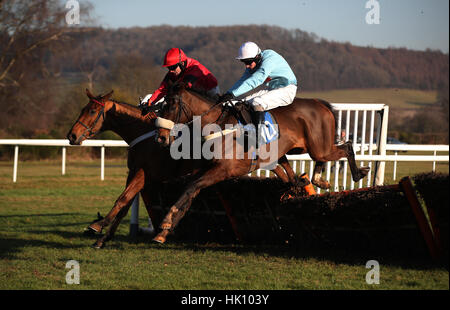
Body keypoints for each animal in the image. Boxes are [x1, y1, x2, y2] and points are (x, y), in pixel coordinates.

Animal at [153, 85, 368, 240]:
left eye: (170, 106)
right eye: (161, 105)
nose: (161, 138)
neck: (218, 126)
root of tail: (319, 103)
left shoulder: (223, 170)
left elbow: (191, 187)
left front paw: (166, 221)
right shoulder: (207, 169)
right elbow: (190, 190)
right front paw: (166, 229)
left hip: (319, 148)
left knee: (347, 147)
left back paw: (357, 173)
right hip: (305, 149)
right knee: (296, 173)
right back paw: (312, 180)